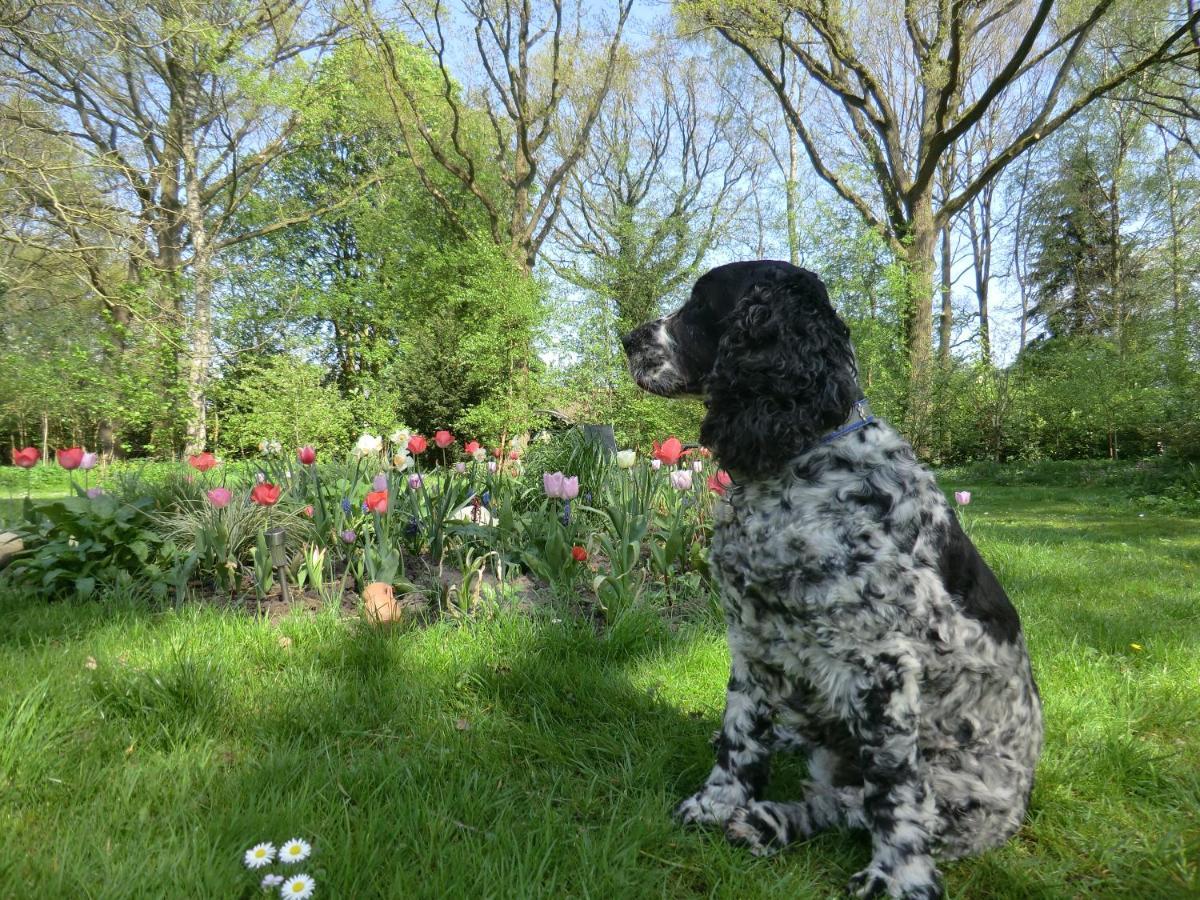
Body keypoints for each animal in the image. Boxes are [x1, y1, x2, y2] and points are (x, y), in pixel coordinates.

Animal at [619, 262, 1041, 900]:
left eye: (699, 305)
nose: (628, 338)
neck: (802, 462)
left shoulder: (882, 666)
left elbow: (893, 792)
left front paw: (900, 880)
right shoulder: (753, 639)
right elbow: (739, 735)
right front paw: (715, 805)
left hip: (963, 796)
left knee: (855, 804)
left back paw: (773, 823)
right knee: (829, 791)